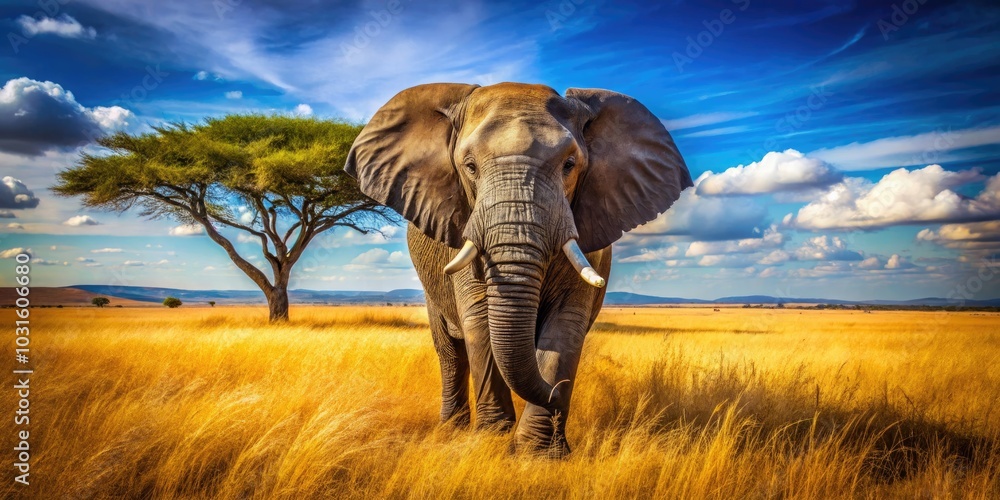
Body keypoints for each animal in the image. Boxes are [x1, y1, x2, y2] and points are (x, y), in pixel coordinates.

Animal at [345, 82, 692, 456]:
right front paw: (493, 439)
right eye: (469, 166)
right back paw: (452, 429)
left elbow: (566, 325)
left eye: (570, 164)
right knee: (451, 354)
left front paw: (539, 454)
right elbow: (480, 318)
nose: (558, 394)